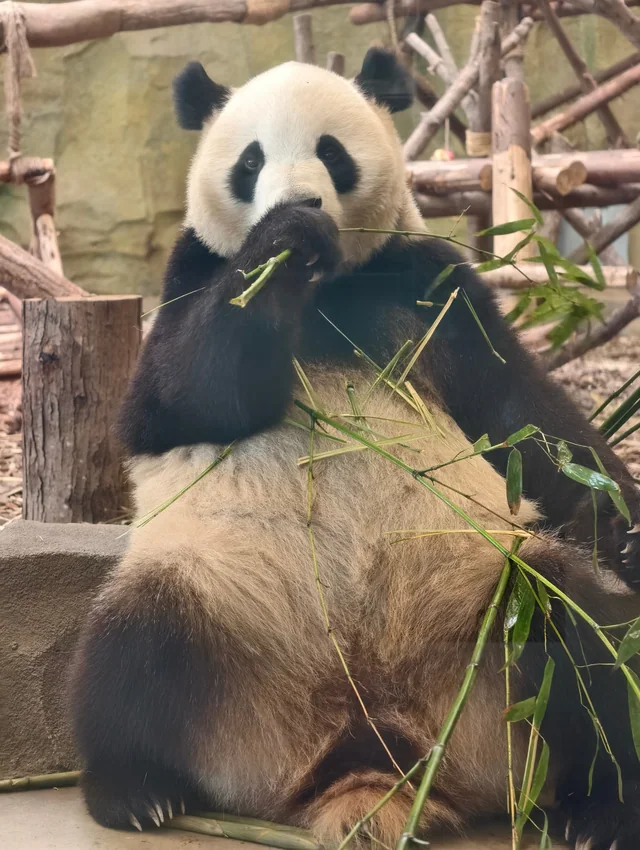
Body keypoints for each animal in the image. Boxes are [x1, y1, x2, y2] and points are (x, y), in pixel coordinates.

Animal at [70, 50, 640, 849]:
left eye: (331, 152)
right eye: (251, 160)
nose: (301, 204)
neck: (325, 288)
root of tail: (366, 755)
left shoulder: (430, 291)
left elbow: (525, 416)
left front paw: (624, 523)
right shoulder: (188, 278)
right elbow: (179, 397)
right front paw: (279, 244)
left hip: (492, 617)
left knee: (579, 638)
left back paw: (604, 807)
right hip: (220, 611)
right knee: (131, 647)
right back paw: (136, 792)